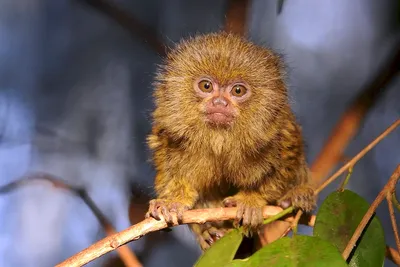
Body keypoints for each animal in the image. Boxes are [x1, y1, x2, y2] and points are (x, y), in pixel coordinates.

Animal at [146, 31, 316, 251]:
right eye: (206, 86)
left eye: (237, 91)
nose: (219, 102)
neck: (220, 138)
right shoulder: (168, 134)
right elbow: (171, 174)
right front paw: (174, 202)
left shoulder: (279, 130)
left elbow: (283, 167)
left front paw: (252, 200)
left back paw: (299, 196)